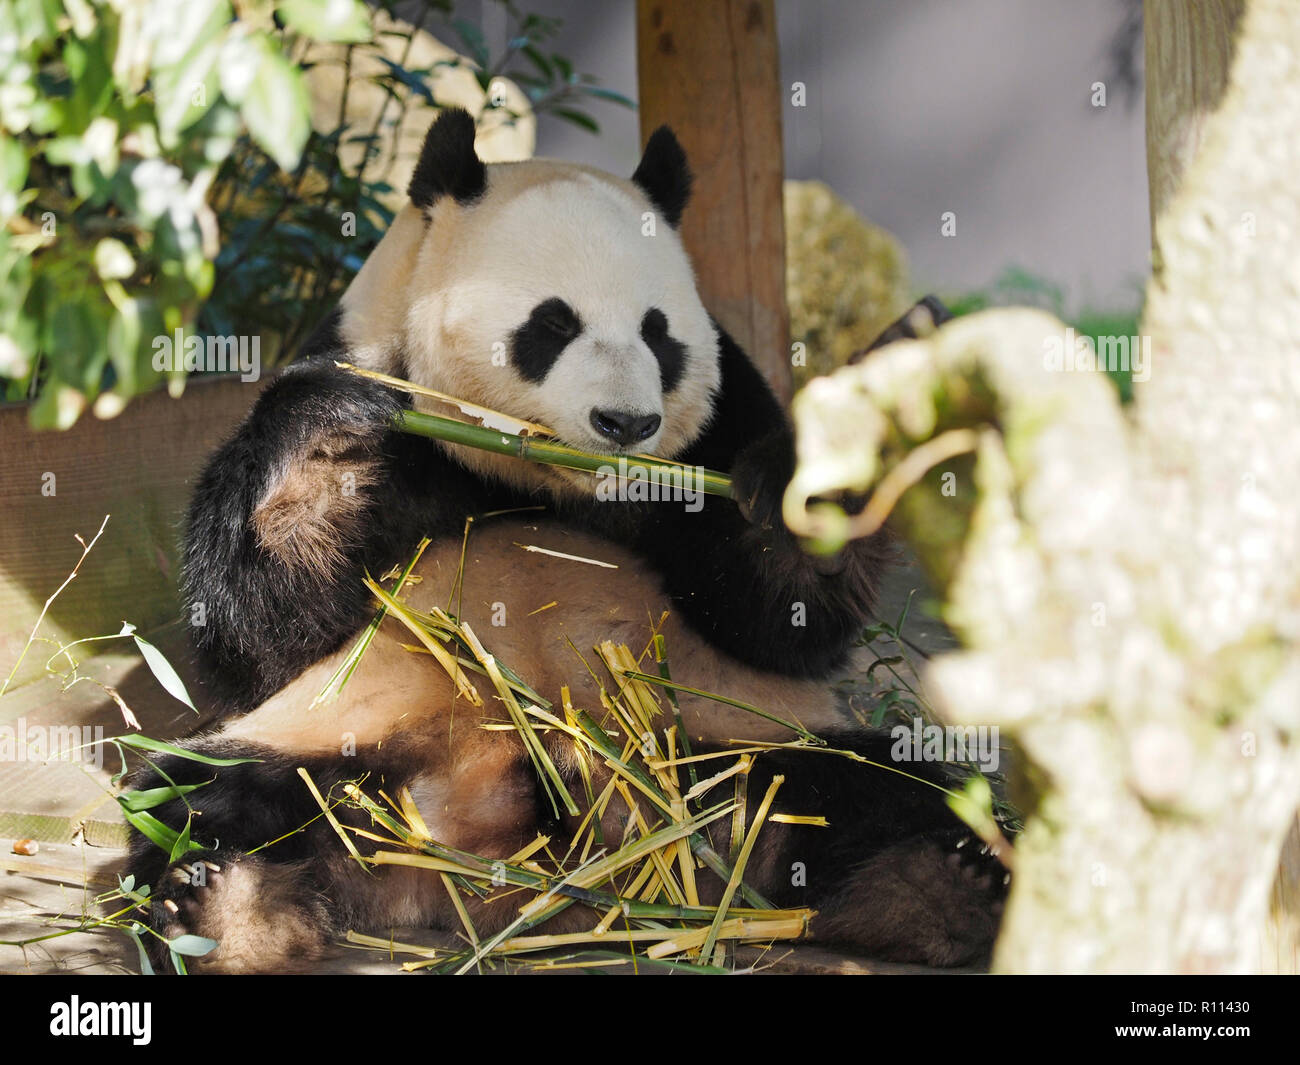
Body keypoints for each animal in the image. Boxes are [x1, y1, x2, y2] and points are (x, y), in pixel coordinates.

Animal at [129, 108, 1003, 972]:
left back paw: (935, 891)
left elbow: (779, 619)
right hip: (331, 731)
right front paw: (333, 447)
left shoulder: (723, 429)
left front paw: (838, 464)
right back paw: (225, 909)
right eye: (553, 324)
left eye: (658, 334)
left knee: (878, 782)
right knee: (204, 795)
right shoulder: (359, 365)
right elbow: (261, 634)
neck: (546, 477)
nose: (626, 423)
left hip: (726, 736)